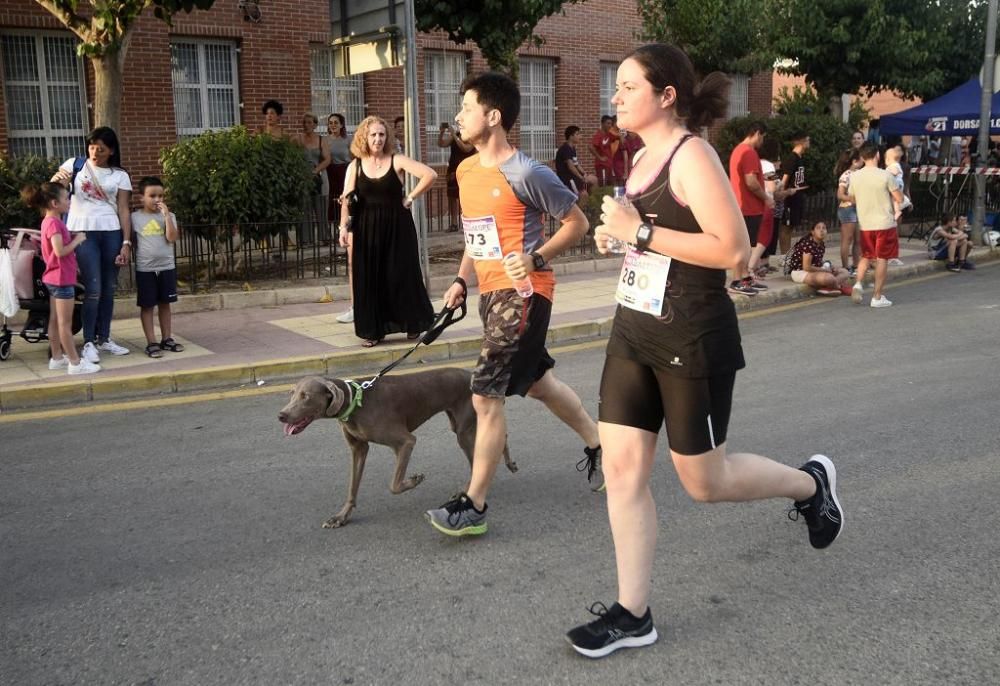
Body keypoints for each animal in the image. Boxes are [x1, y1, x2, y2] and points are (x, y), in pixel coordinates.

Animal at [280, 368, 516, 528]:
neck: (355, 401)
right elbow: (352, 487)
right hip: (459, 423)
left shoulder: (406, 441)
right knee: (500, 436)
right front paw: (341, 516)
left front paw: (414, 479)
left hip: (464, 429)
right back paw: (507, 463)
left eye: (306, 396)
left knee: (480, 454)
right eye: (292, 393)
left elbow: (394, 485)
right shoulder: (358, 449)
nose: (281, 415)